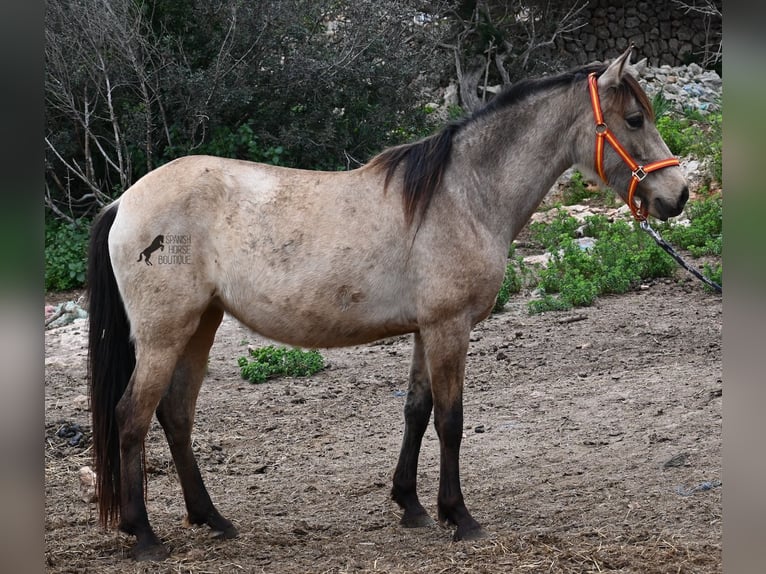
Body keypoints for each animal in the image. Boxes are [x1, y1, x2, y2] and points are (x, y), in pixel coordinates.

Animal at [85, 46, 688, 564]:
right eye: (635, 119)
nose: (677, 196)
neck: (462, 196)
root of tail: (124, 202)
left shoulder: (427, 329)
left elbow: (416, 411)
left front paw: (412, 505)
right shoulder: (450, 328)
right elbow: (450, 419)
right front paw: (459, 516)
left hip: (200, 326)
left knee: (175, 415)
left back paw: (212, 519)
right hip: (165, 334)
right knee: (131, 416)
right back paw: (145, 535)